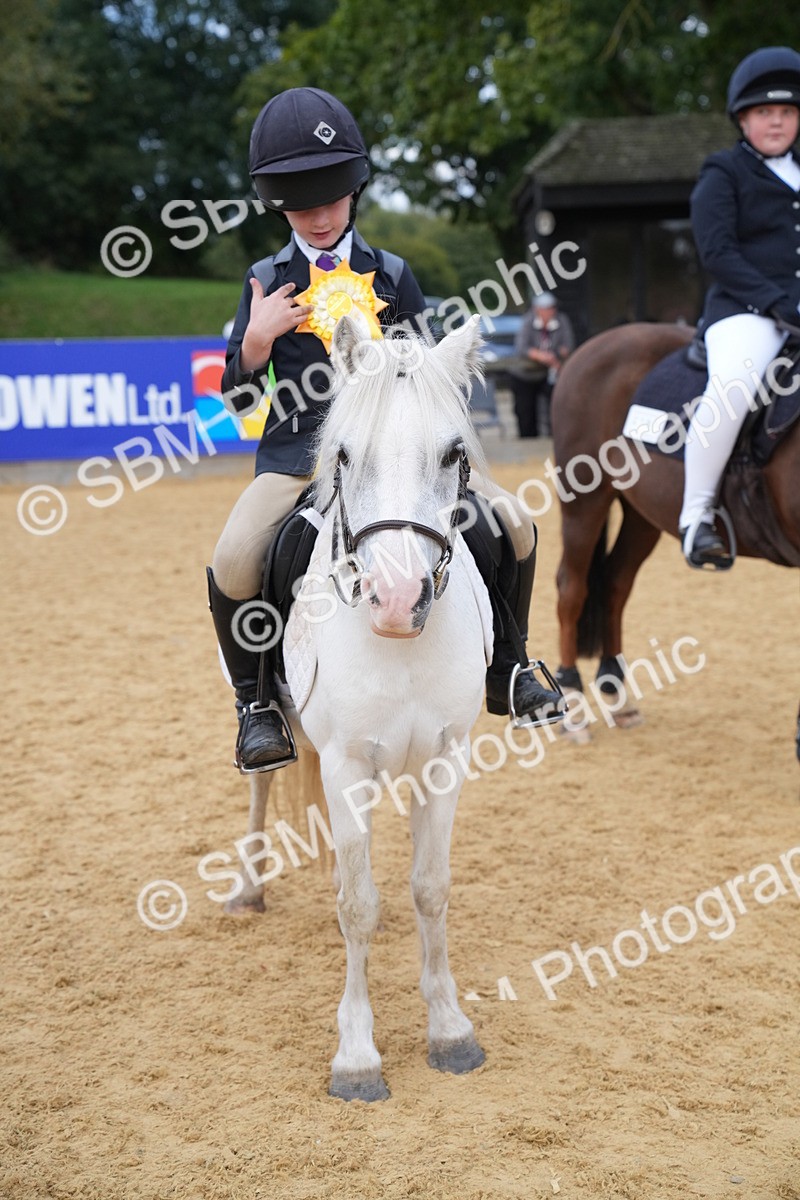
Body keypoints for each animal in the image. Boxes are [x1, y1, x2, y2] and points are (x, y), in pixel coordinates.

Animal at [225, 313, 492, 1101]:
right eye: (344, 453)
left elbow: (430, 889)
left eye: (453, 452)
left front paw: (450, 1029)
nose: (398, 602)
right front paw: (356, 1055)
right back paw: (247, 890)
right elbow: (358, 906)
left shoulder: (443, 760)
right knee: (262, 786)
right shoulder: (347, 766)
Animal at [550, 321, 800, 756]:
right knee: (572, 588)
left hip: (642, 514)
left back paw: (618, 697)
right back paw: (575, 707)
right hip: (585, 502)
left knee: (615, 583)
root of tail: (597, 343)